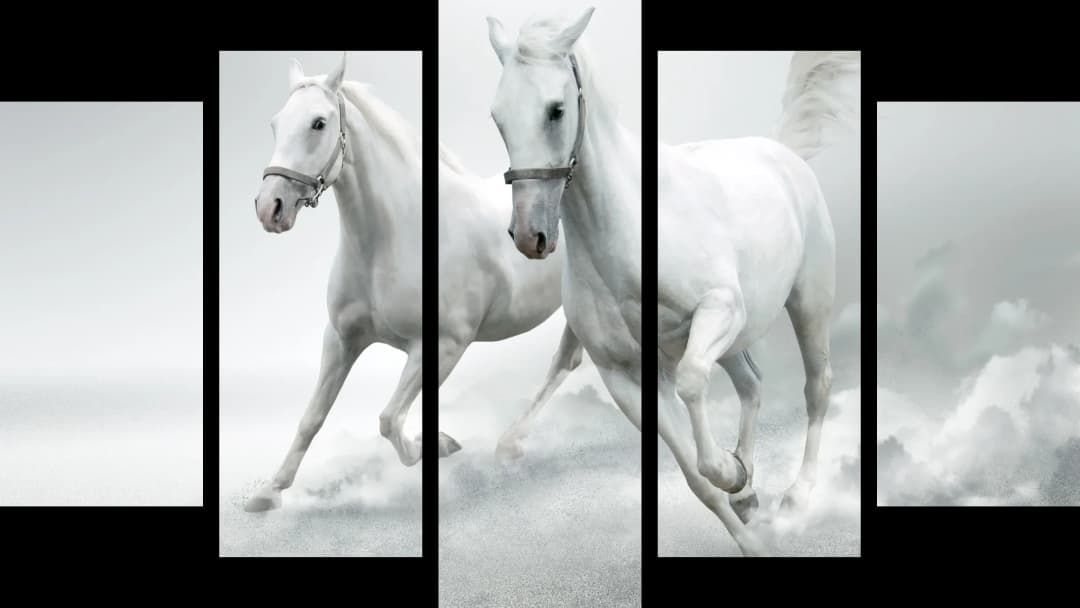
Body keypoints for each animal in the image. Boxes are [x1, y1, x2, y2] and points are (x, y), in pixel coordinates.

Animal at [656, 51, 860, 554]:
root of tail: (778, 150)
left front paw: (733, 478)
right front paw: (735, 482)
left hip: (809, 301)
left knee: (817, 384)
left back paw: (796, 496)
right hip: (735, 335)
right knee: (751, 382)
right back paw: (746, 490)